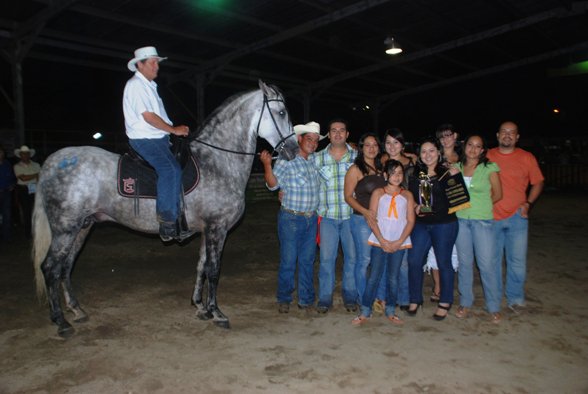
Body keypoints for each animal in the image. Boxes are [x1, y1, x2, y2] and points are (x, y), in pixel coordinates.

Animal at [32, 80, 298, 338]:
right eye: (281, 112)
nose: (294, 149)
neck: (216, 162)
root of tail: (53, 162)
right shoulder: (217, 228)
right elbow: (213, 270)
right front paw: (217, 313)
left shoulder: (207, 230)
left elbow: (201, 266)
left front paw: (200, 307)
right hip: (65, 229)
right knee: (50, 268)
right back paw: (61, 322)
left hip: (82, 227)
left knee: (66, 267)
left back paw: (77, 310)